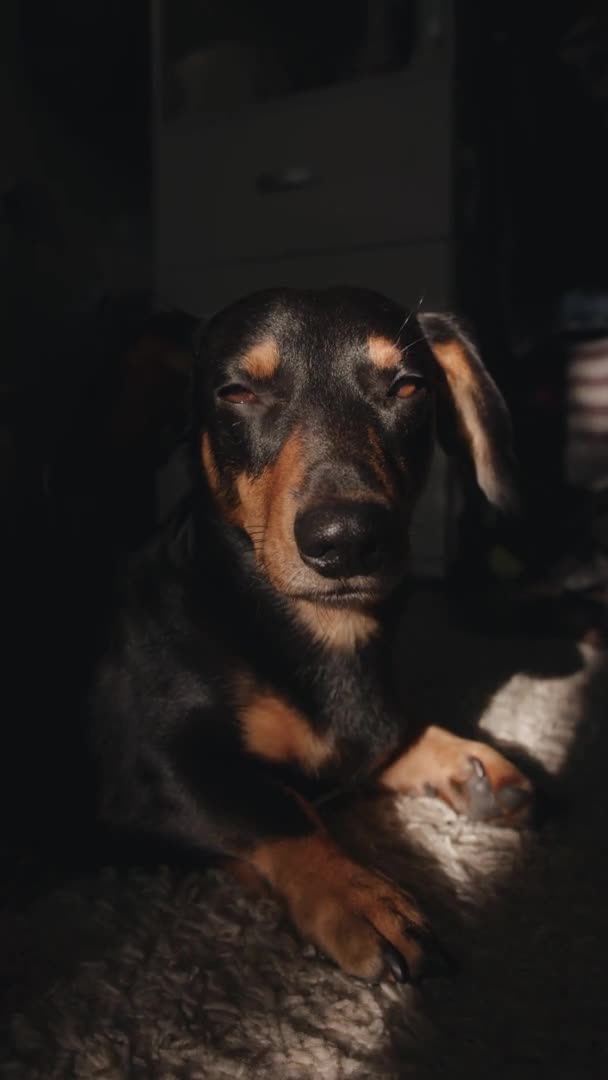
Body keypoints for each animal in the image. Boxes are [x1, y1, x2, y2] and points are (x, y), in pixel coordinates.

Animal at [89, 287, 533, 980]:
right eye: (236, 391)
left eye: (408, 386)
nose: (346, 540)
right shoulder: (146, 776)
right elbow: (276, 805)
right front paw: (358, 894)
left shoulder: (371, 725)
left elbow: (390, 736)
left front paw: (471, 760)